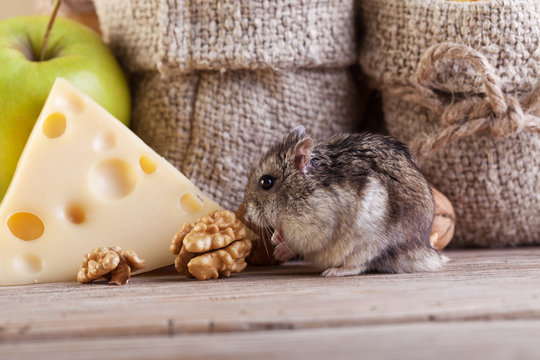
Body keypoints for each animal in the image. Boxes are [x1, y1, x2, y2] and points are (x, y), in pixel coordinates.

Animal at [245, 125, 448, 278]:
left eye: (266, 182)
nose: (247, 216)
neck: (302, 190)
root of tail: (424, 250)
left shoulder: (317, 228)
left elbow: (297, 244)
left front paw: (279, 250)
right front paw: (275, 237)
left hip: (367, 245)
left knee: (360, 266)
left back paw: (332, 272)